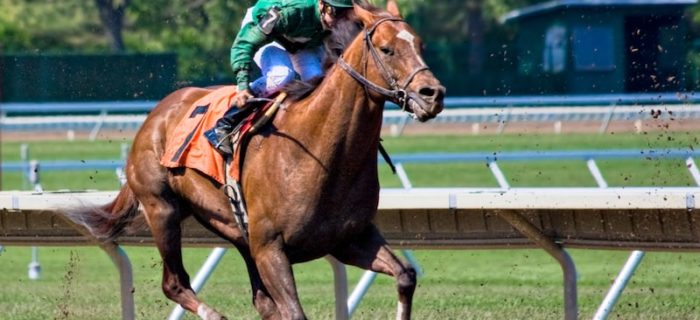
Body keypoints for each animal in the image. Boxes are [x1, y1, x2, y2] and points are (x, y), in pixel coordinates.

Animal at [68, 2, 446, 320]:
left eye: (421, 45)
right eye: (387, 49)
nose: (434, 94)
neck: (322, 154)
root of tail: (157, 112)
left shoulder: (350, 239)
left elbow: (405, 276)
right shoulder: (270, 248)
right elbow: (294, 312)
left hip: (237, 233)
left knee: (260, 301)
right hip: (162, 208)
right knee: (174, 283)